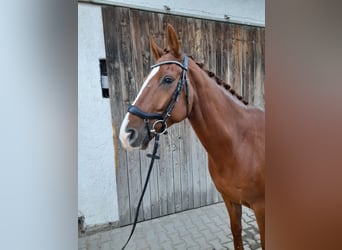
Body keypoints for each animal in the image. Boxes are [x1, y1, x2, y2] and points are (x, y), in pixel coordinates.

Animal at [119, 23, 266, 250]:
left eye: (168, 79)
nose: (126, 134)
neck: (241, 144)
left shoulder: (262, 210)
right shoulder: (230, 200)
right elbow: (236, 232)